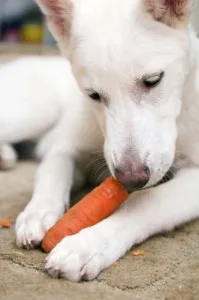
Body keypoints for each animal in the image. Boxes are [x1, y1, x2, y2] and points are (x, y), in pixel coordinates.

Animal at [0, 0, 198, 282]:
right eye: (93, 95)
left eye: (153, 80)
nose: (131, 179)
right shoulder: (62, 146)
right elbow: (53, 172)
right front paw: (37, 213)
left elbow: (146, 201)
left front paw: (88, 244)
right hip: (32, 112)